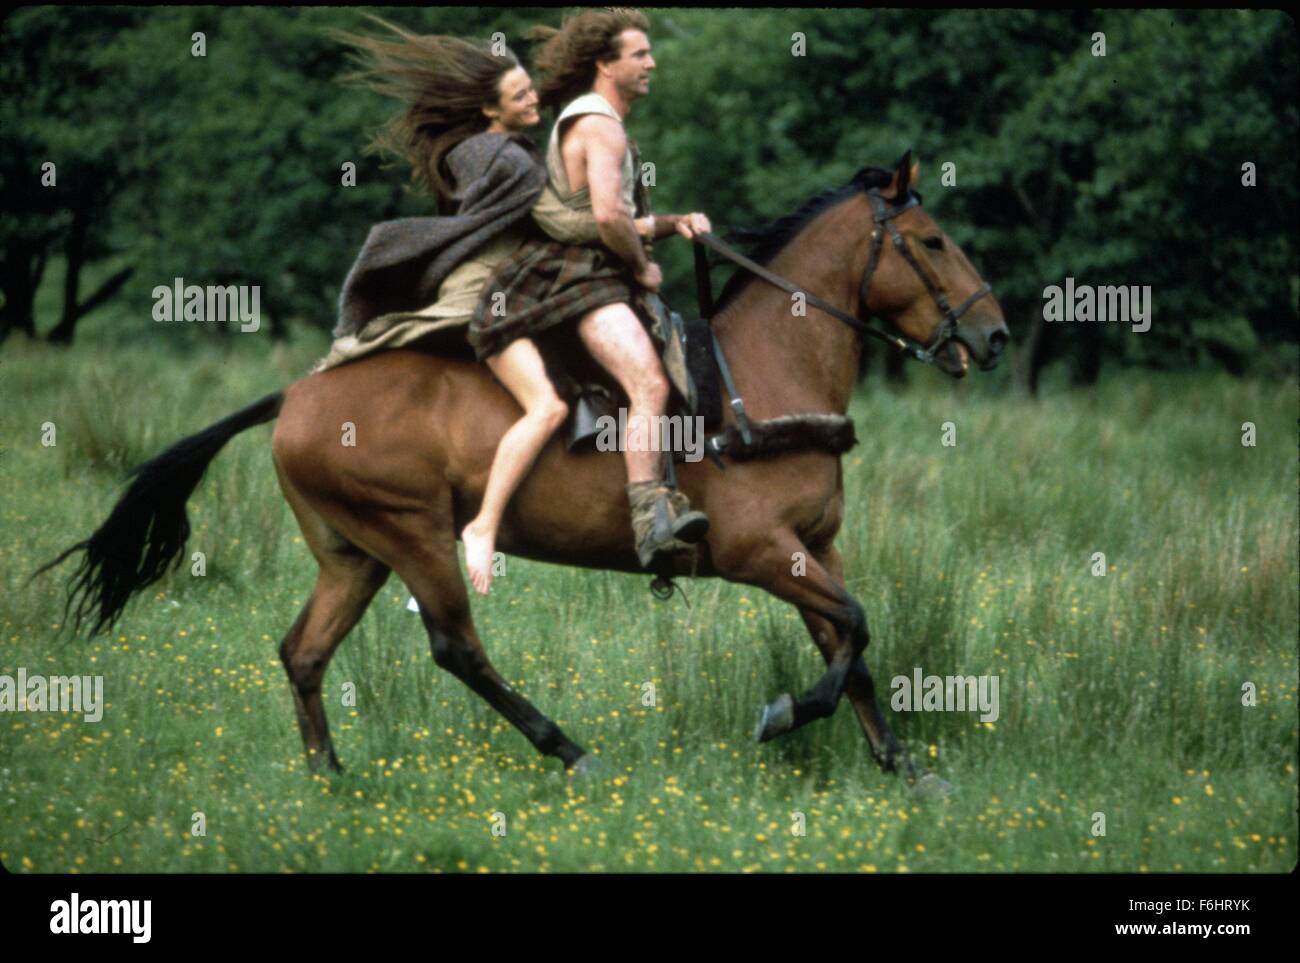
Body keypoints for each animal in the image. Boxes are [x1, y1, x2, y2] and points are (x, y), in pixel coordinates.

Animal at [38, 152, 1013, 779]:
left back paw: (329, 777)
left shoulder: (813, 547)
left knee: (303, 652)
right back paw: (569, 750)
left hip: (353, 554)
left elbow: (849, 641)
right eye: (932, 241)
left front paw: (900, 764)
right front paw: (784, 717)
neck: (759, 378)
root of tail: (296, 395)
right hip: (416, 536)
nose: (996, 334)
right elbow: (854, 628)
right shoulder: (763, 553)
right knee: (457, 648)